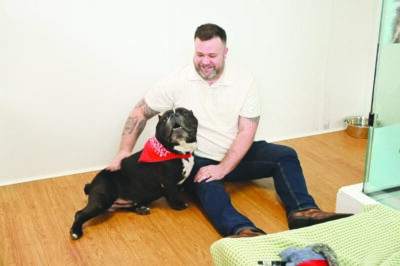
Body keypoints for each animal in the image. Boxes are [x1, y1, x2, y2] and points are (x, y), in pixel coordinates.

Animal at [71, 107, 198, 240]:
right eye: (164, 119)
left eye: (185, 112)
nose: (174, 115)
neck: (179, 152)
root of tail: (91, 184)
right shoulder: (168, 182)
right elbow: (172, 194)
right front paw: (178, 205)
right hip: (103, 198)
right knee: (79, 214)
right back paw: (75, 231)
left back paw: (140, 208)